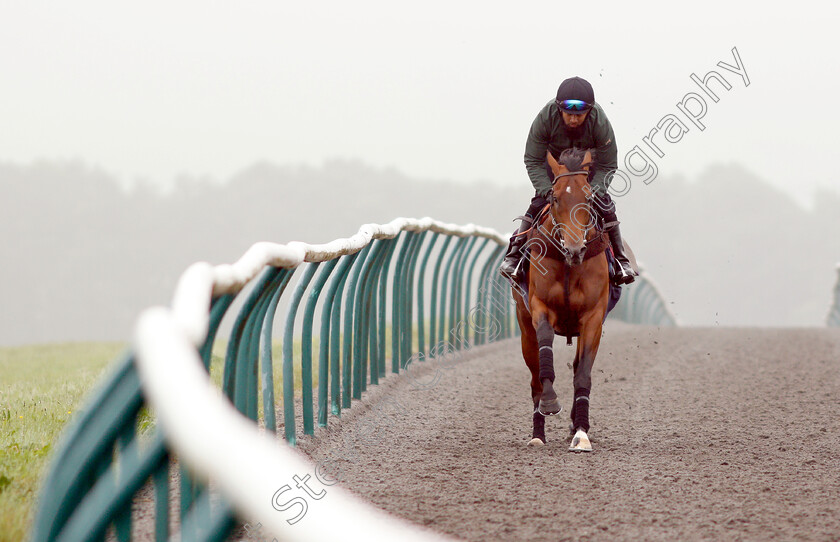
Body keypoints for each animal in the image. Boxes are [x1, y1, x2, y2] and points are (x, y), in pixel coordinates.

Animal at [512, 147, 612, 452]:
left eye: (588, 197)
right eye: (555, 197)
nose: (574, 249)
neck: (569, 264)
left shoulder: (593, 318)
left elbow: (583, 374)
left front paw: (580, 433)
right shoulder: (539, 307)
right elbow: (545, 347)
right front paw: (549, 401)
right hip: (524, 329)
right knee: (534, 377)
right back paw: (538, 433)